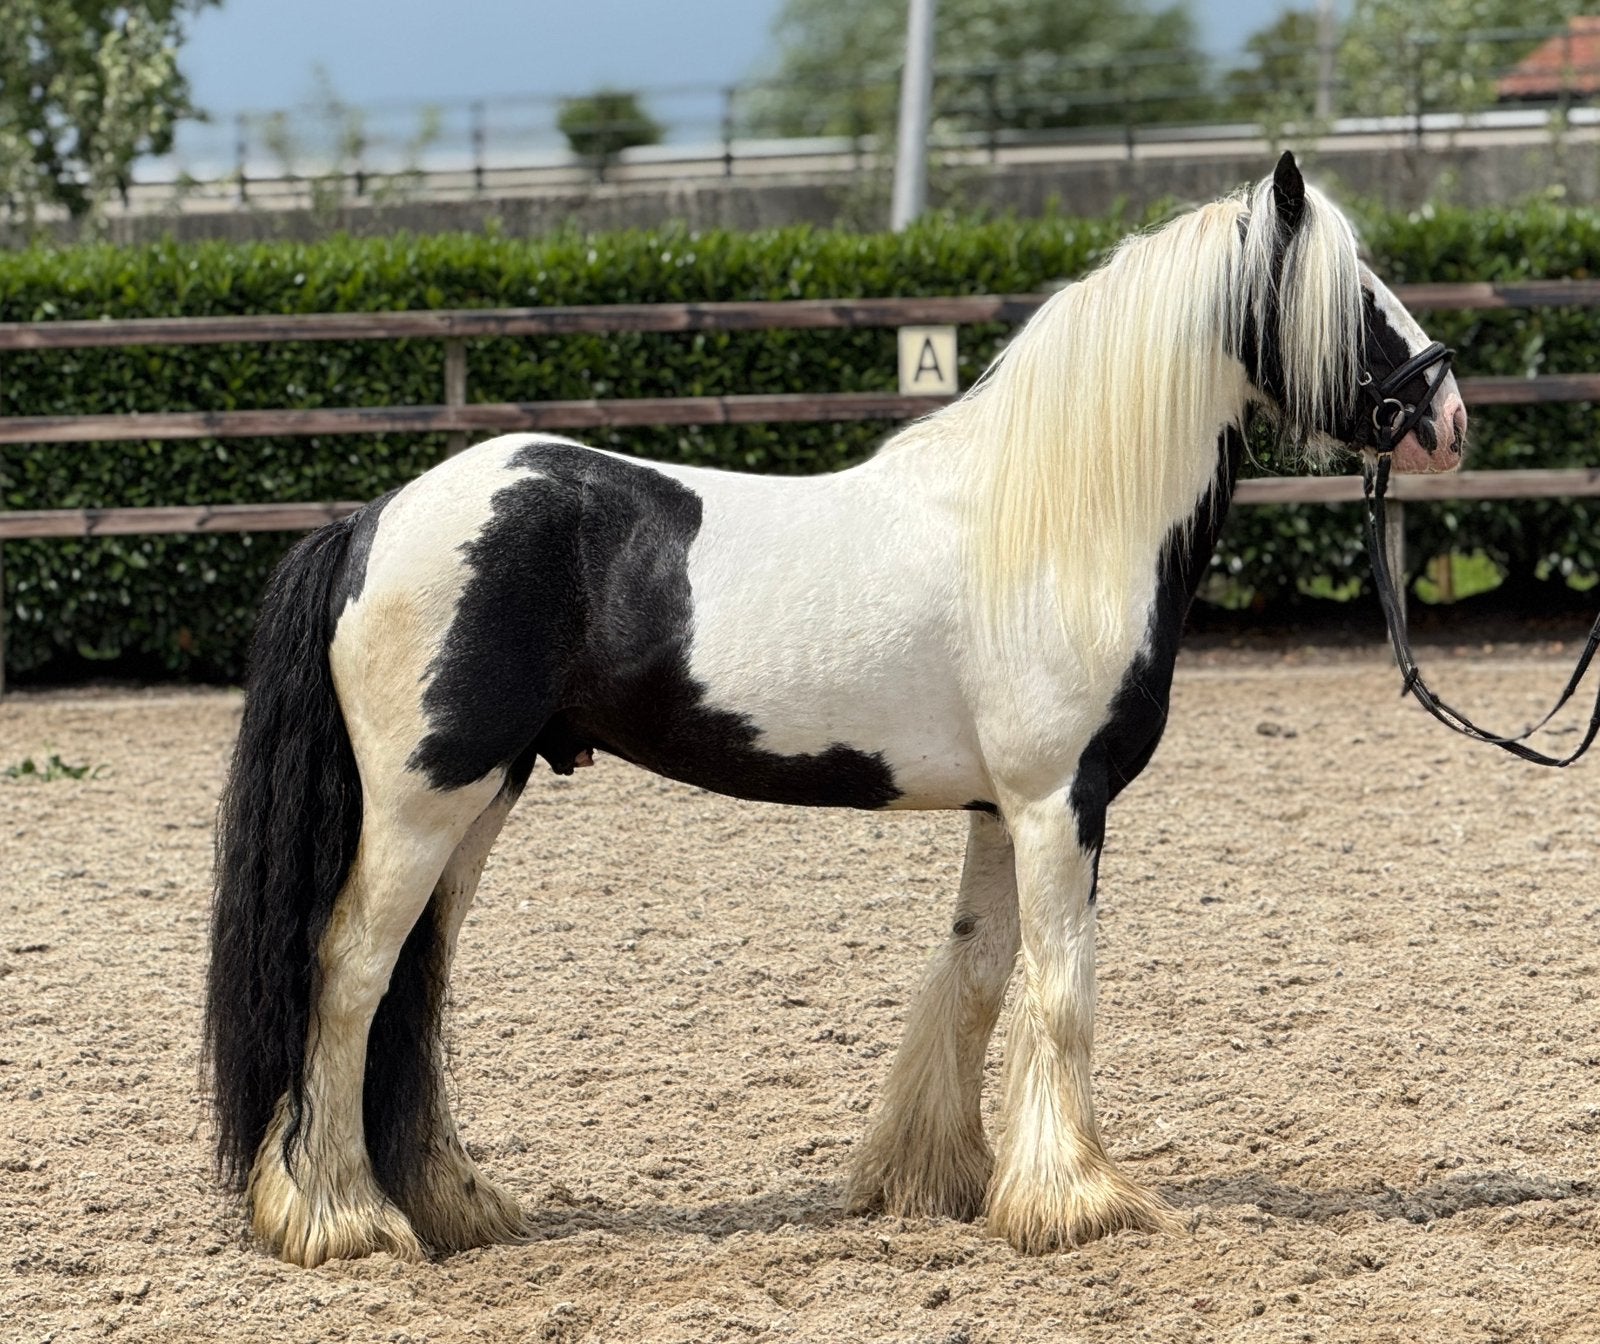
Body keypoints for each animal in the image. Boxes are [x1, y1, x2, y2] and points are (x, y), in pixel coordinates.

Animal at [203, 152, 1468, 1267]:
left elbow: (976, 978)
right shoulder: (1061, 802)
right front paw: (1077, 1202)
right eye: (1356, 293)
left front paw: (942, 1182)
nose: (1446, 415)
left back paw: (450, 1205)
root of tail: (371, 522)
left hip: (478, 801)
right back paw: (340, 1219)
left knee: (415, 991)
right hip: (424, 803)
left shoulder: (1000, 810)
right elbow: (1061, 990)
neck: (1053, 526)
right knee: (351, 974)